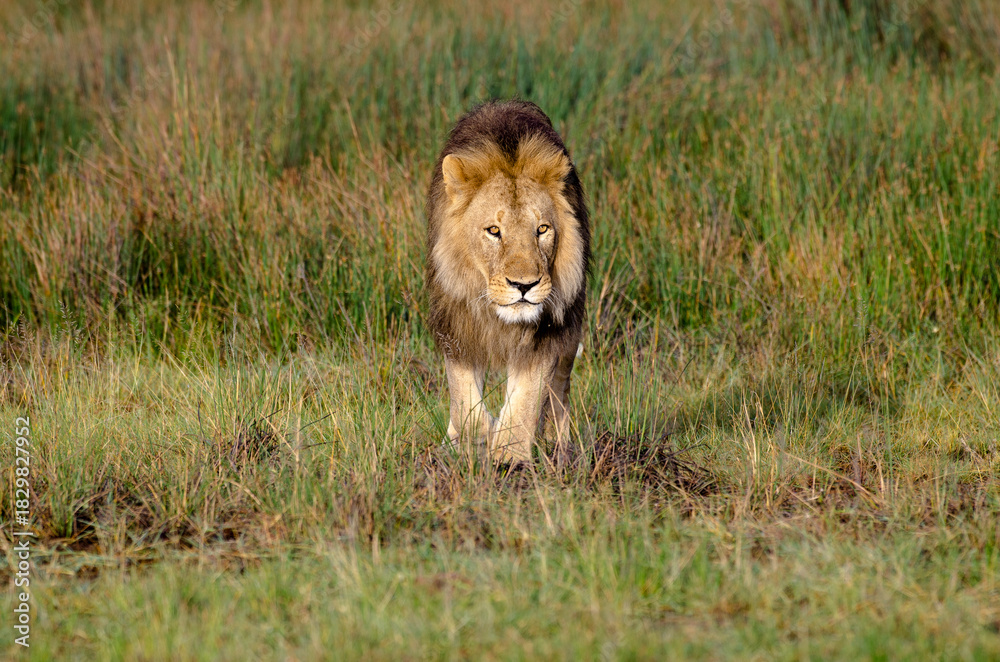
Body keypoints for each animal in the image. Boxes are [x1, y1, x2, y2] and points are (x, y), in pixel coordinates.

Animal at [425, 100, 590, 464]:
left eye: (541, 229)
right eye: (493, 231)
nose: (524, 286)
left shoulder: (548, 331)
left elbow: (527, 398)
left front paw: (509, 455)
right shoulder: (457, 326)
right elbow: (463, 398)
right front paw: (476, 438)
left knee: (560, 391)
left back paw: (562, 447)